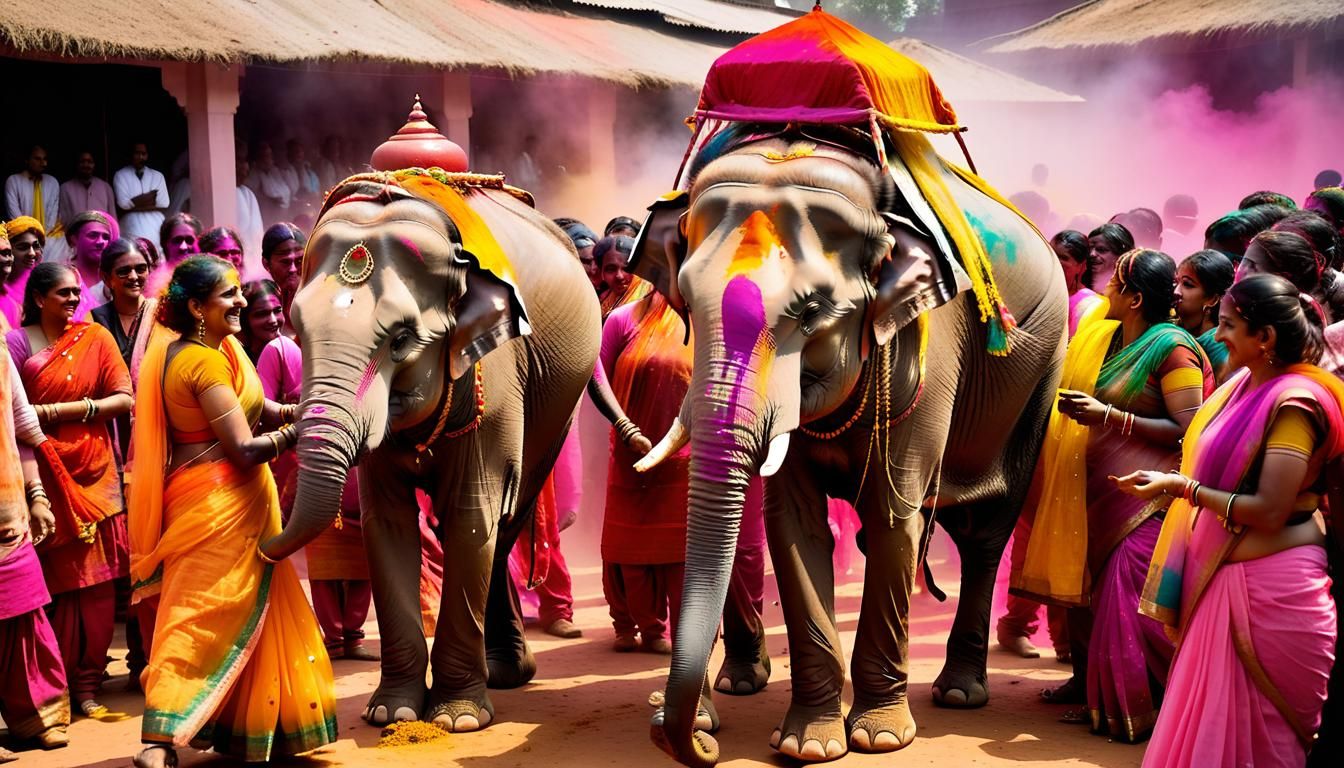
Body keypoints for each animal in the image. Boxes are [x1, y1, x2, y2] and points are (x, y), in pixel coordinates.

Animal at [260, 170, 600, 733]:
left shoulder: (497, 380)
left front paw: (456, 720)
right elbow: (387, 522)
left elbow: (470, 518)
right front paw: (389, 712)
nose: (263, 549)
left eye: (400, 339)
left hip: (559, 408)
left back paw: (505, 673)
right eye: (298, 331)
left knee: (507, 519)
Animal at [633, 124, 1067, 766]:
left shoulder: (930, 358)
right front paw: (809, 744)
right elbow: (794, 523)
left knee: (986, 532)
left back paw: (960, 693)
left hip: (1039, 382)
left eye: (812, 311)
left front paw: (878, 738)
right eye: (684, 297)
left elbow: (892, 518)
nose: (685, 737)